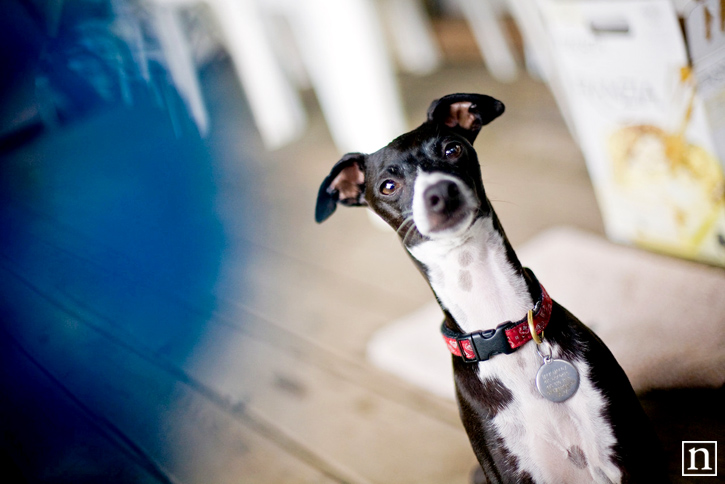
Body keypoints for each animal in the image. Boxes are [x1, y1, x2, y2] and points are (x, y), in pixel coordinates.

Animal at [314, 94, 664, 484]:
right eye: (388, 185)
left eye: (452, 149)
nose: (440, 192)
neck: (500, 328)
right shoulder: (510, 472)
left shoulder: (628, 456)